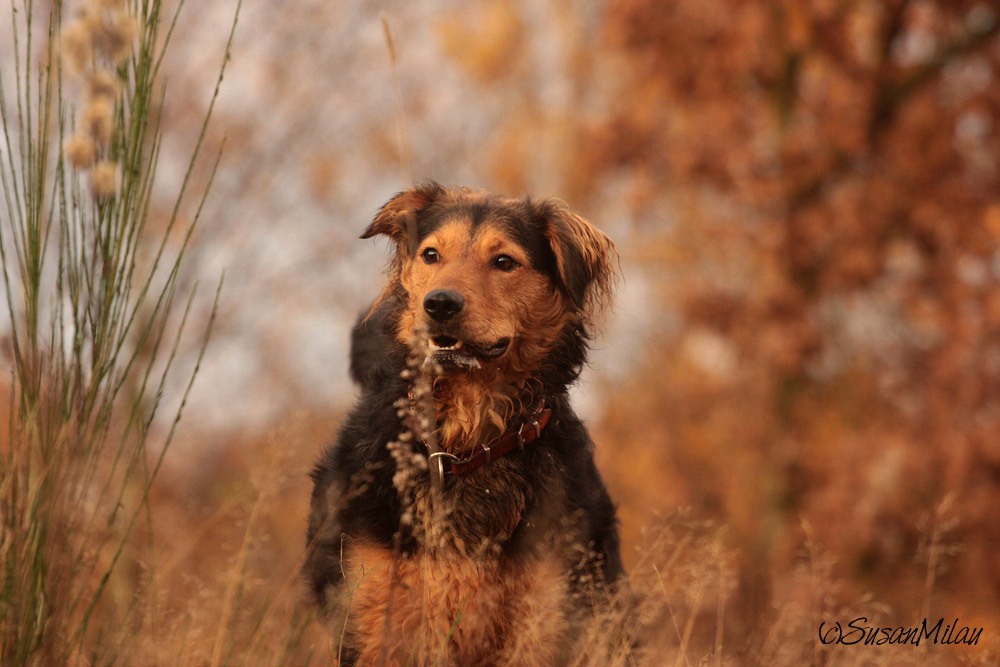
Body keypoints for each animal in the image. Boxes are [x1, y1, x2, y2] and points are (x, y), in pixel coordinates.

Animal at [304, 180, 620, 664]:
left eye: (504, 262)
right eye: (431, 255)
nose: (439, 304)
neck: (464, 442)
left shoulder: (544, 616)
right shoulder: (372, 614)